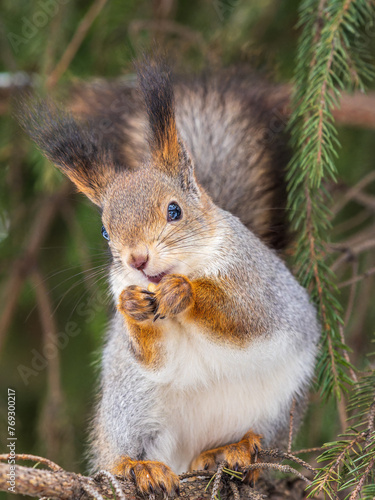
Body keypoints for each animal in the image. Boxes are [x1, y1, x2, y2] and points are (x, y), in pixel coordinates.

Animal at [20, 59, 320, 496]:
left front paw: (186, 292)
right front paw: (131, 305)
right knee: (122, 451)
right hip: (131, 407)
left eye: (174, 211)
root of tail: (191, 455)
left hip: (279, 406)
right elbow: (156, 357)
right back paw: (139, 467)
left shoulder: (256, 286)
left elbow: (244, 320)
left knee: (253, 438)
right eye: (106, 232)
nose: (137, 259)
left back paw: (233, 450)